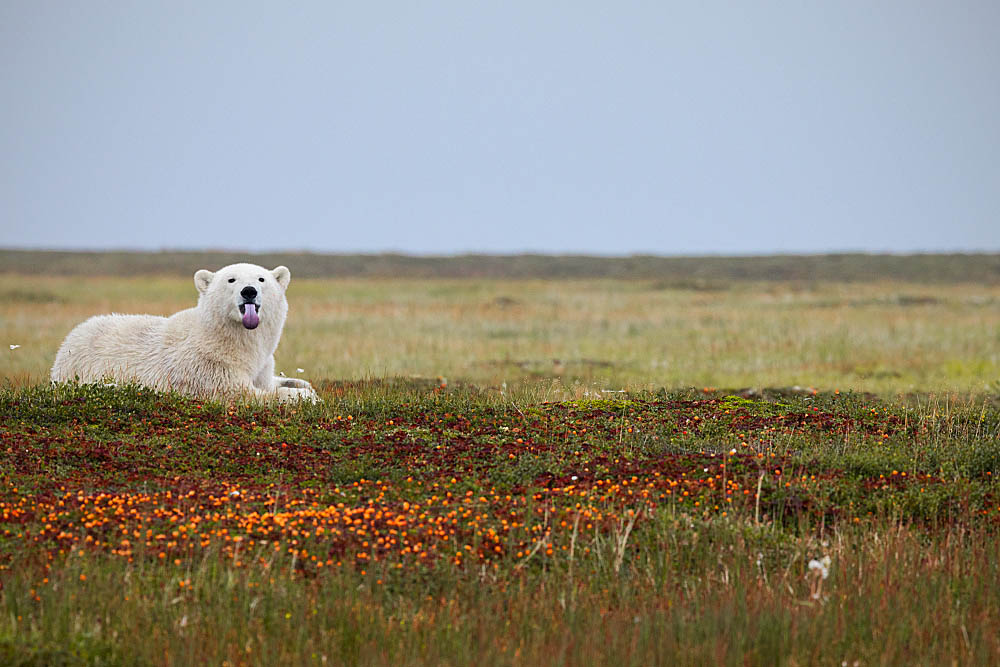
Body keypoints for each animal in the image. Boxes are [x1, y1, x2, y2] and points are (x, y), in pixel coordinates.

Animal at [50, 264, 316, 402]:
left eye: (261, 279)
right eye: (231, 280)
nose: (249, 291)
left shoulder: (260, 363)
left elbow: (268, 380)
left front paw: (302, 384)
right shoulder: (209, 366)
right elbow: (242, 393)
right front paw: (304, 396)